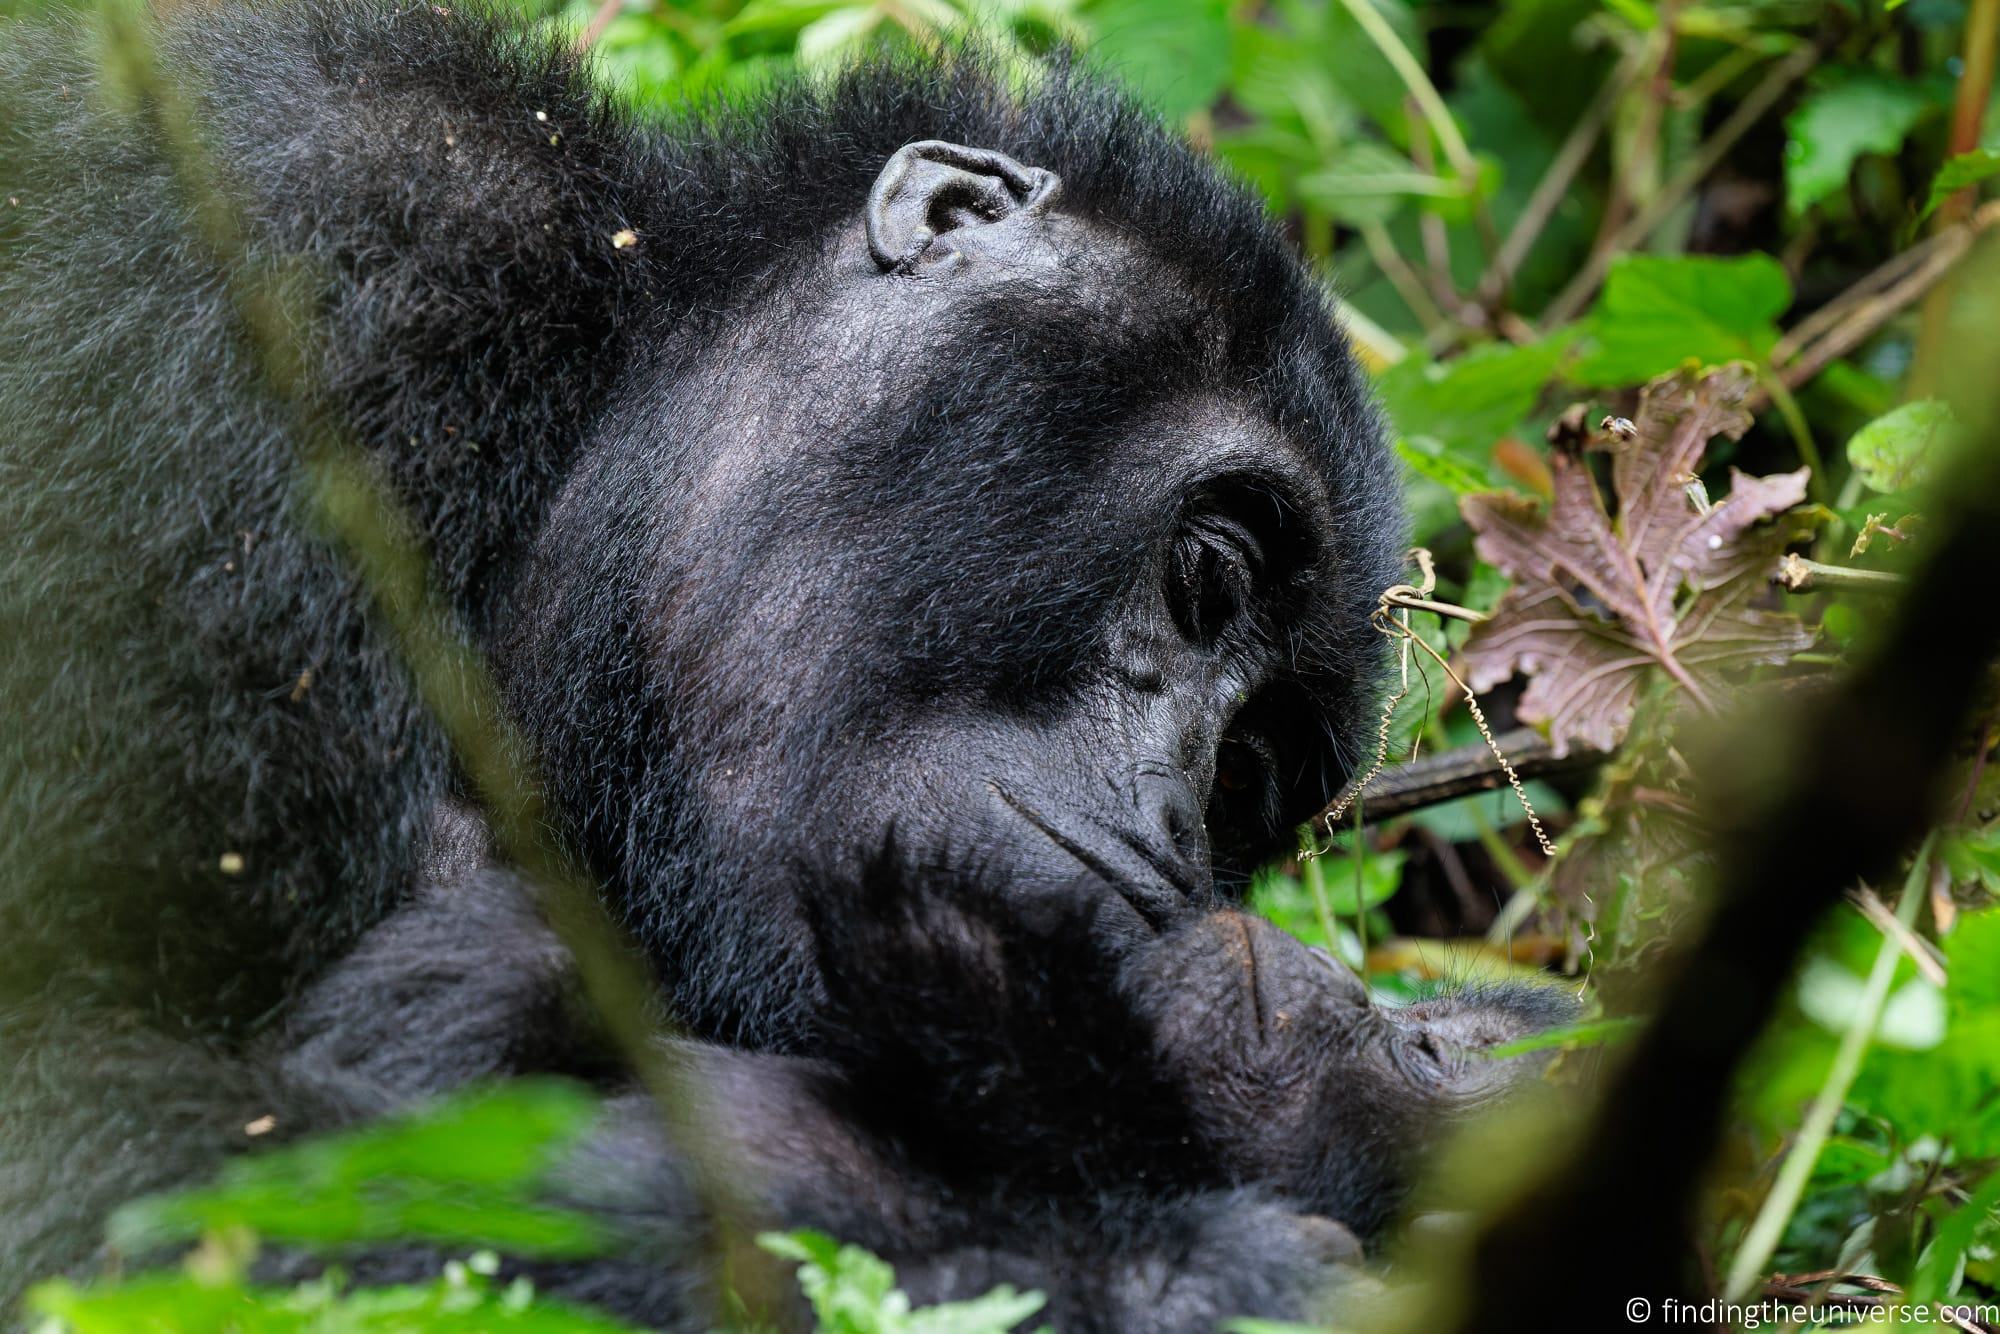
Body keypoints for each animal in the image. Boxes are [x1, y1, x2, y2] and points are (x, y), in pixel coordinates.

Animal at [0, 2, 1560, 1328]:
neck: (581, 397)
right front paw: (1155, 1268)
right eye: (1209, 576)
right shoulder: (313, 244)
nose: (1173, 830)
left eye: (1244, 778)